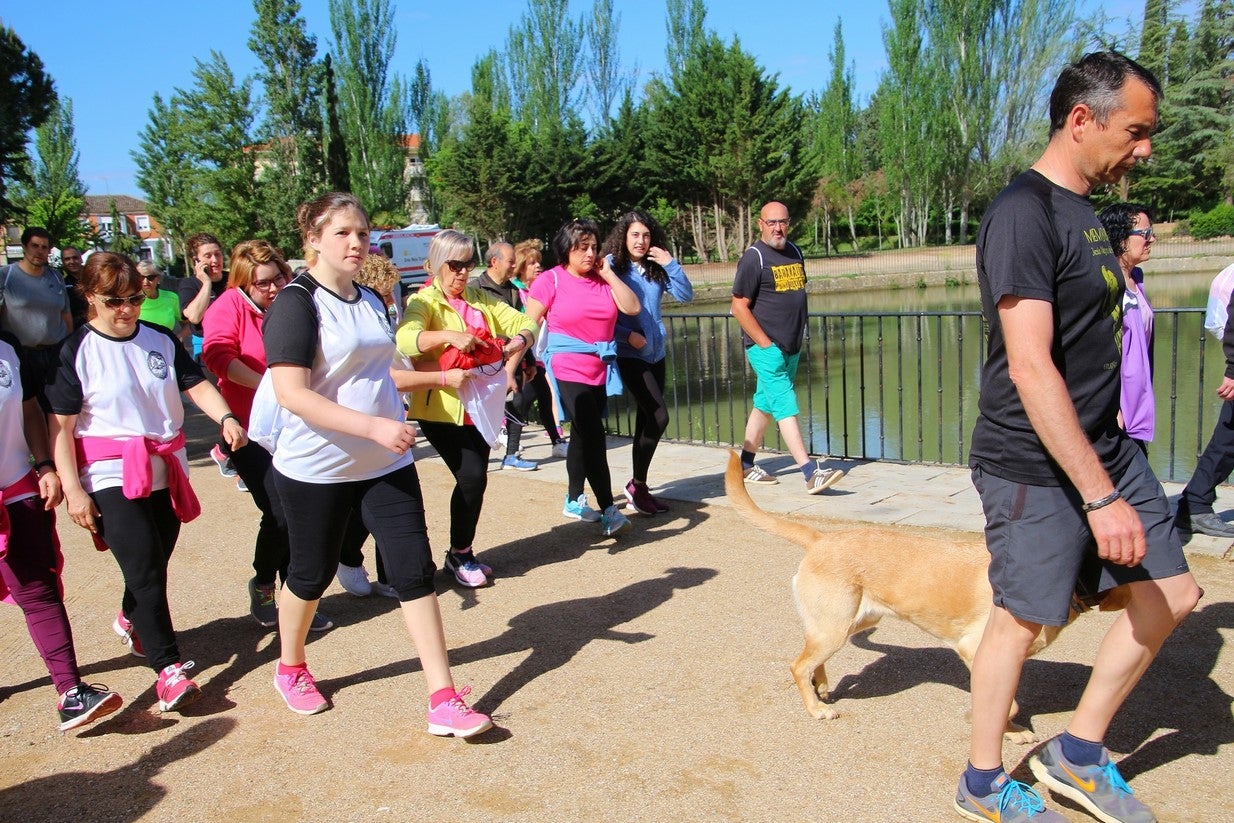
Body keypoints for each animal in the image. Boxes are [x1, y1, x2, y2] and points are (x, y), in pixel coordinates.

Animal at [720, 454, 1125, 745]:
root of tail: (822, 538)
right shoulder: (975, 648)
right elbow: (1007, 704)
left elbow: (1004, 701)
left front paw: (1009, 733)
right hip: (834, 629)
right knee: (798, 665)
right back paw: (816, 709)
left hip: (850, 623)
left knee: (811, 660)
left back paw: (821, 689)